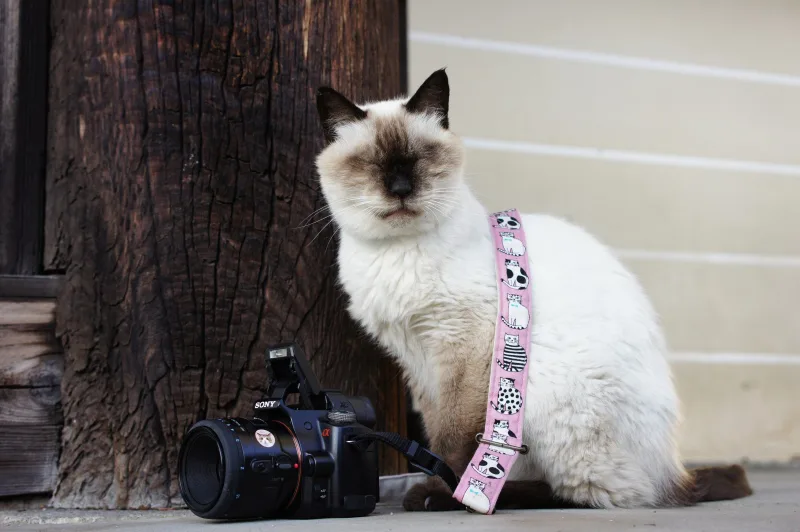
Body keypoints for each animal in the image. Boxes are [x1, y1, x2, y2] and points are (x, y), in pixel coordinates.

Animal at [314, 68, 752, 510]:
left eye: (419, 158)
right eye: (371, 163)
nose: (402, 189)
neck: (395, 250)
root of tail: (674, 474)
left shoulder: (464, 348)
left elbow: (455, 440)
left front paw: (446, 488)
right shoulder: (418, 359)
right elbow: (436, 434)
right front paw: (442, 482)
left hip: (541, 390)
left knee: (588, 492)